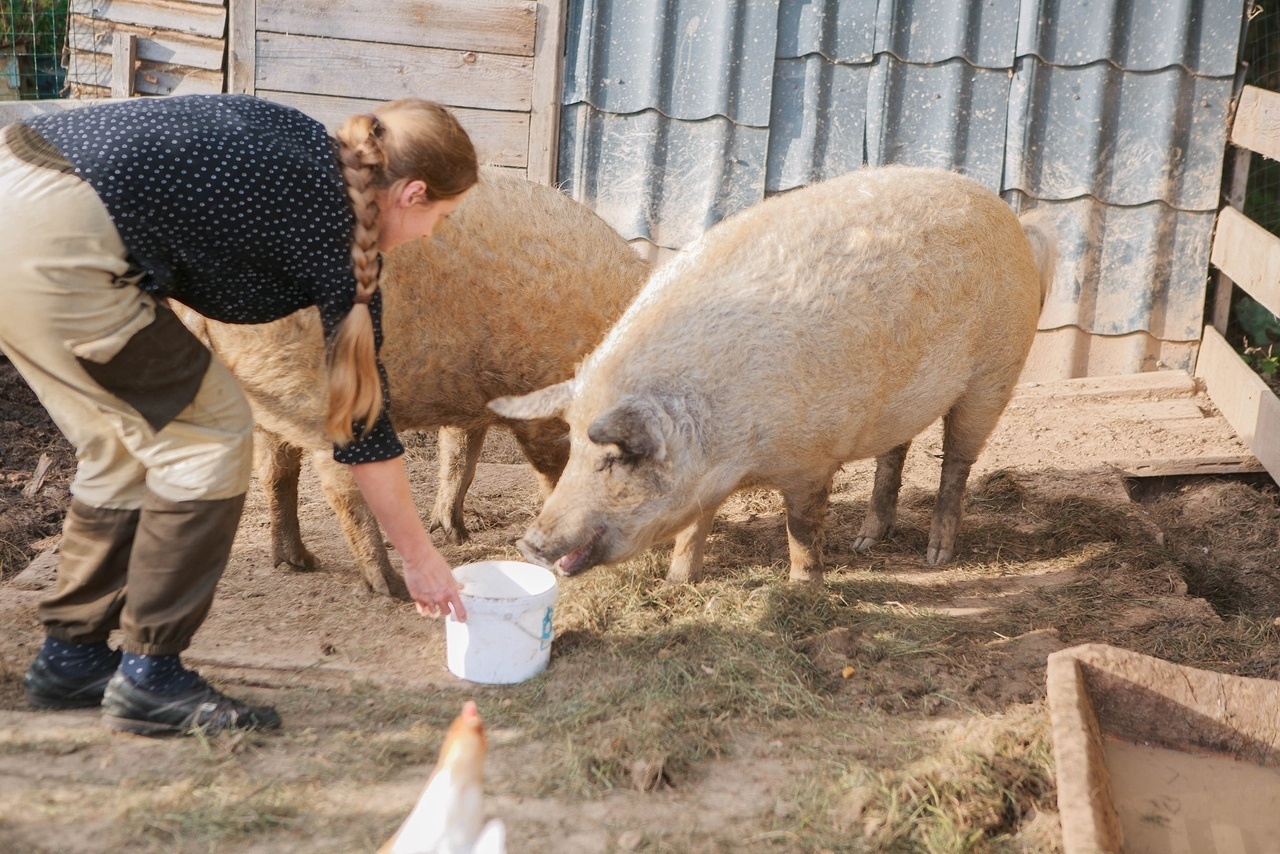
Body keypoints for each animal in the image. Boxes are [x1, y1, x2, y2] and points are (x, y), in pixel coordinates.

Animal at [178, 168, 649, 597]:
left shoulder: (475, 404)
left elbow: (460, 458)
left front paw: (456, 534)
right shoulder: (544, 403)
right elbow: (553, 468)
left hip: (267, 396)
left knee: (275, 472)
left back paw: (297, 562)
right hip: (319, 393)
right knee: (340, 490)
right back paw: (391, 587)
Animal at [489, 165, 1055, 584]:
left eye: (615, 459)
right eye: (574, 450)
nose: (528, 543)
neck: (732, 450)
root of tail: (1014, 219)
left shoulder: (813, 458)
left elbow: (801, 528)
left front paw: (803, 589)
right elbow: (694, 525)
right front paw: (678, 582)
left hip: (996, 371)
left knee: (957, 460)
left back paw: (937, 556)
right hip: (907, 399)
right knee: (894, 453)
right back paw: (866, 542)